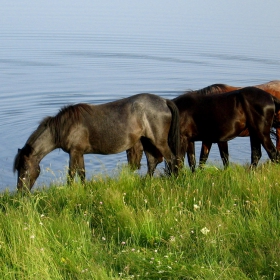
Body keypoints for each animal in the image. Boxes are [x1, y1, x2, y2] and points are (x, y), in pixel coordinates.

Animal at [13, 93, 179, 191]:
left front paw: (69, 191)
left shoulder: (74, 152)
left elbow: (71, 174)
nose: (21, 192)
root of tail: (164, 101)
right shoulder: (79, 153)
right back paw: (146, 183)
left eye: (25, 168)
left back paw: (173, 181)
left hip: (158, 141)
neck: (65, 126)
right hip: (146, 141)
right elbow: (82, 173)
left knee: (171, 159)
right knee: (153, 161)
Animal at [127, 84, 280, 173]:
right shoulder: (191, 140)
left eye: (130, 148)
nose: (132, 167)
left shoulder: (184, 139)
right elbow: (194, 161)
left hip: (261, 133)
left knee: (273, 154)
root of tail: (271, 97)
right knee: (256, 155)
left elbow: (180, 161)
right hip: (254, 133)